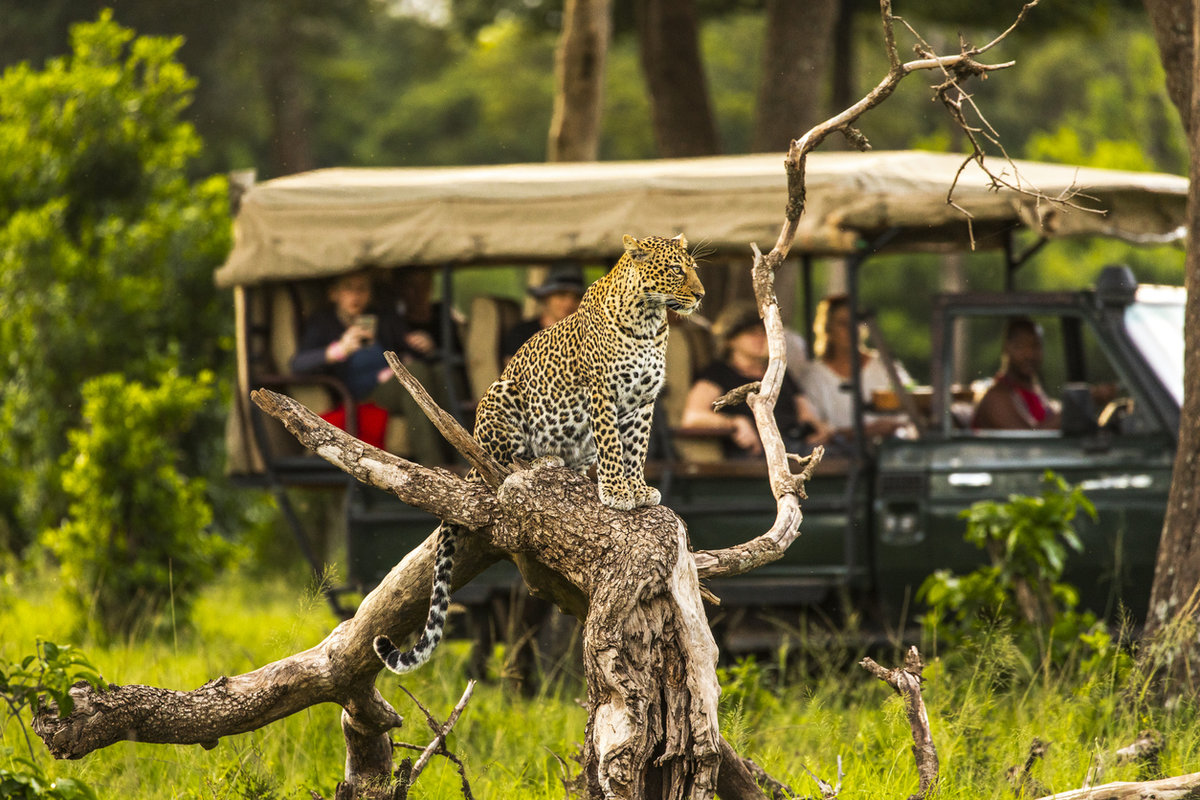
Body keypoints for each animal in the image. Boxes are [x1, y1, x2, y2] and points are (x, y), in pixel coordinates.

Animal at [376, 232, 700, 676]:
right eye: (675, 270)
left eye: (694, 269)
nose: (701, 295)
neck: (649, 322)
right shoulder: (602, 394)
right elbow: (612, 446)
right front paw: (617, 492)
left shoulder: (643, 402)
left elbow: (636, 448)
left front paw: (637, 489)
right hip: (501, 394)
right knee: (501, 462)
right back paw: (541, 462)